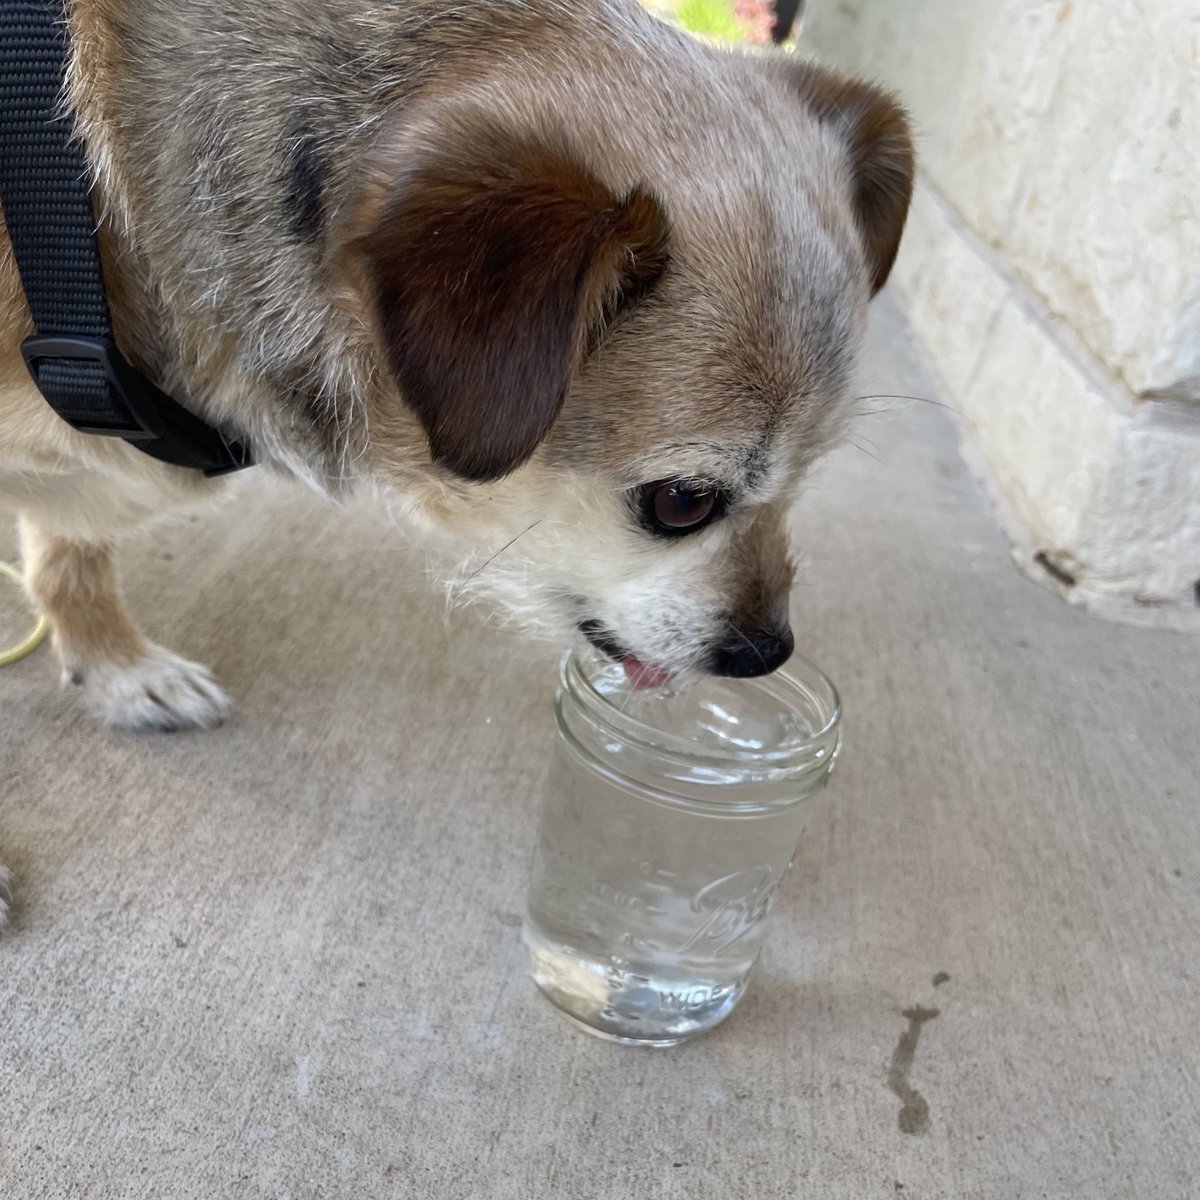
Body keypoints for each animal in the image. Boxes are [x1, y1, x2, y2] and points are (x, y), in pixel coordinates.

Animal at [0, 0, 907, 916]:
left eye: (809, 474)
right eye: (681, 502)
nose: (768, 653)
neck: (83, 233)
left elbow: (70, 554)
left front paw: (115, 667)